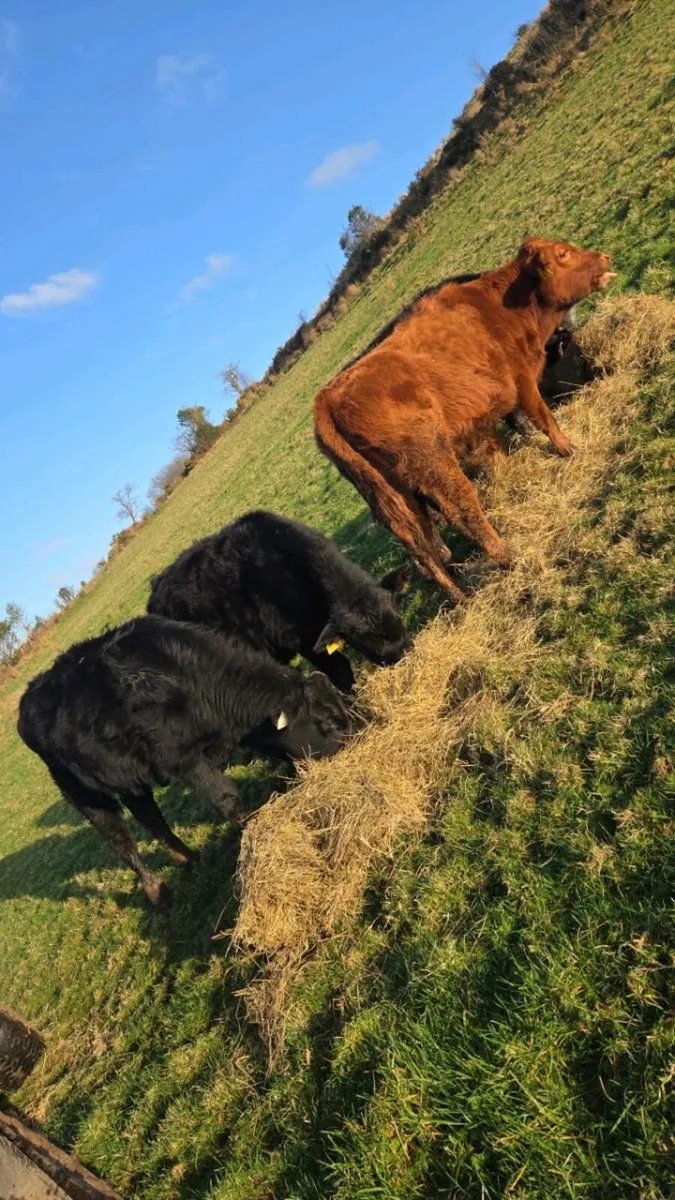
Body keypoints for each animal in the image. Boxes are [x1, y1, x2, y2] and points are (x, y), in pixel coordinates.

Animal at [17, 616, 350, 910]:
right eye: (325, 723)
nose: (354, 740)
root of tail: (29, 699)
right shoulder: (182, 760)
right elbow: (226, 799)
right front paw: (253, 831)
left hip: (128, 779)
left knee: (149, 815)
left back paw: (188, 858)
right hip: (81, 792)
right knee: (119, 839)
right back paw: (157, 891)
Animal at [147, 509, 412, 694]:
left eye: (398, 618)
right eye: (364, 639)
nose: (400, 653)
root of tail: (156, 596)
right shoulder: (306, 640)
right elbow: (340, 672)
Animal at [314, 237, 615, 602]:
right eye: (563, 254)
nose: (605, 257)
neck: (498, 306)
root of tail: (327, 397)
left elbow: (502, 441)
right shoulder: (521, 380)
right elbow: (541, 417)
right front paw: (568, 448)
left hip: (392, 493)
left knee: (417, 541)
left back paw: (459, 593)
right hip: (432, 464)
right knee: (460, 508)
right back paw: (507, 557)